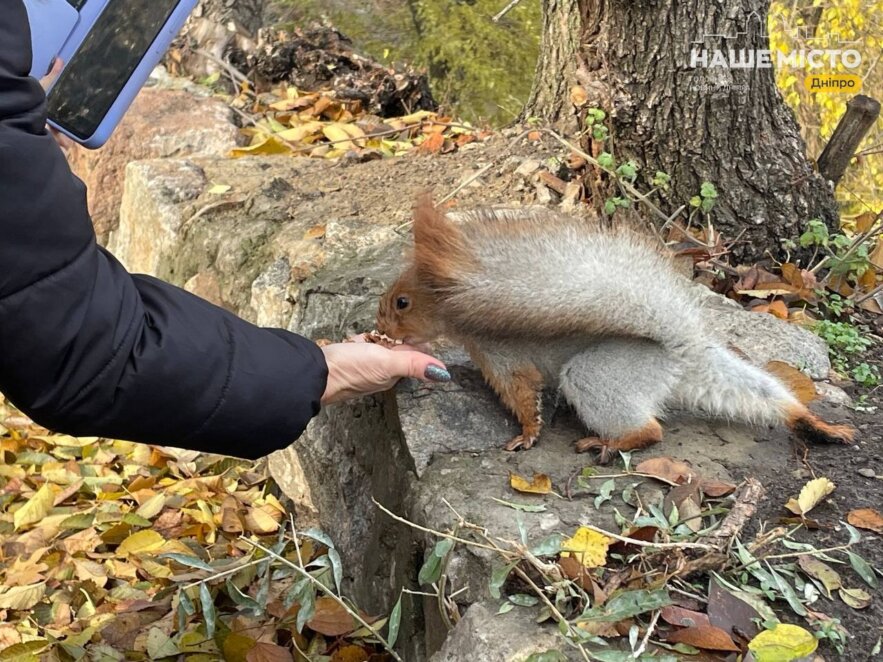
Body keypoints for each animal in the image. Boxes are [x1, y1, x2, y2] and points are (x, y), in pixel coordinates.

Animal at [374, 200, 856, 464]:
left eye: (403, 303)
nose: (379, 328)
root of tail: (677, 356)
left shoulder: (503, 356)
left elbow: (523, 395)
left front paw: (526, 435)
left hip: (599, 375)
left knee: (651, 431)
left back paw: (606, 442)